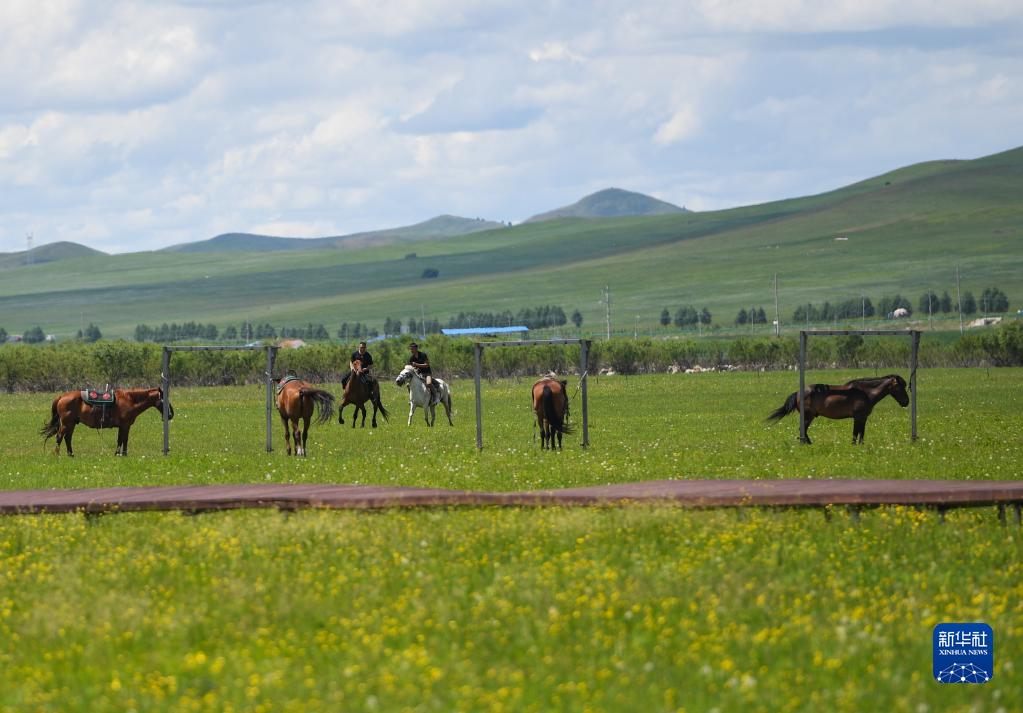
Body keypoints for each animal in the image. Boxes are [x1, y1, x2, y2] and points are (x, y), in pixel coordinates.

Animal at [40, 388, 171, 456]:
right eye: (164, 399)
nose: (170, 414)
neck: (130, 400)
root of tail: (62, 396)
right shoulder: (125, 425)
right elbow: (124, 439)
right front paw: (124, 454)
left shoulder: (122, 426)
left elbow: (120, 440)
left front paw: (118, 454)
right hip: (66, 424)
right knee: (59, 437)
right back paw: (57, 454)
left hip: (72, 424)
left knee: (67, 438)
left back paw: (71, 454)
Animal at [769, 376, 912, 441]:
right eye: (899, 387)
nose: (906, 402)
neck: (866, 393)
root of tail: (798, 392)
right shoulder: (858, 417)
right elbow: (855, 433)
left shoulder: (863, 418)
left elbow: (861, 434)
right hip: (808, 417)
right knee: (802, 430)